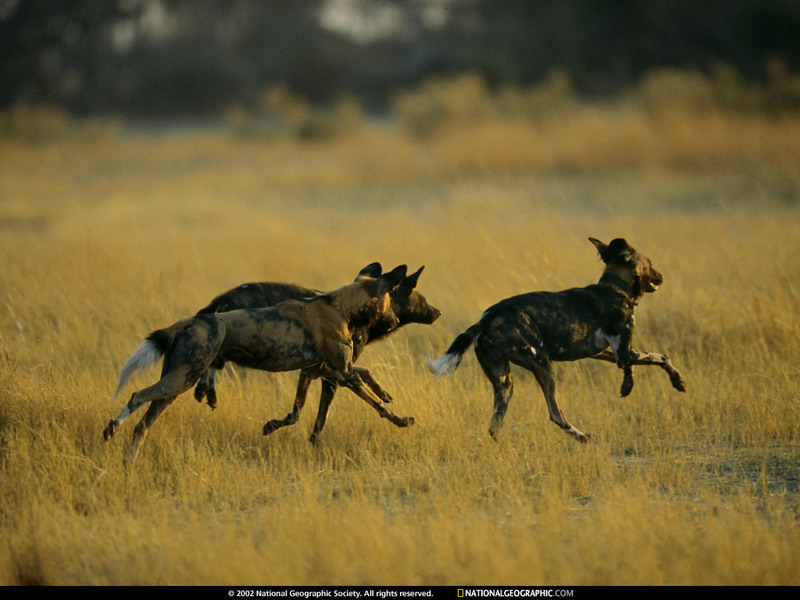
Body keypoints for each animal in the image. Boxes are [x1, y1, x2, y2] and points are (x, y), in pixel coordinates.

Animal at [102, 264, 410, 464]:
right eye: (390, 302)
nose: (396, 320)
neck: (340, 306)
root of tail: (190, 320)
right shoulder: (341, 374)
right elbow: (377, 406)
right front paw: (400, 419)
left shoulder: (320, 370)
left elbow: (304, 407)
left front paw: (383, 391)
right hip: (182, 379)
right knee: (136, 395)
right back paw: (111, 429)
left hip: (175, 384)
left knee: (142, 425)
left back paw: (129, 463)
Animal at [195, 264, 444, 442]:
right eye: (422, 301)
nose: (438, 312)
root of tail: (226, 295)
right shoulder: (335, 375)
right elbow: (324, 417)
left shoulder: (318, 370)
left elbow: (299, 410)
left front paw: (382, 391)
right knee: (212, 363)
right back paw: (207, 391)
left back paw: (204, 391)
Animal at [428, 238, 684, 440]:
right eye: (650, 263)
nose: (661, 276)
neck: (615, 288)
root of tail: (487, 318)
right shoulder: (625, 350)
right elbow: (663, 357)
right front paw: (678, 382)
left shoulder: (614, 351)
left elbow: (629, 366)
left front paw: (627, 386)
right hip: (543, 364)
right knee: (554, 413)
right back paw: (582, 437)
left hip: (504, 382)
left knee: (494, 426)